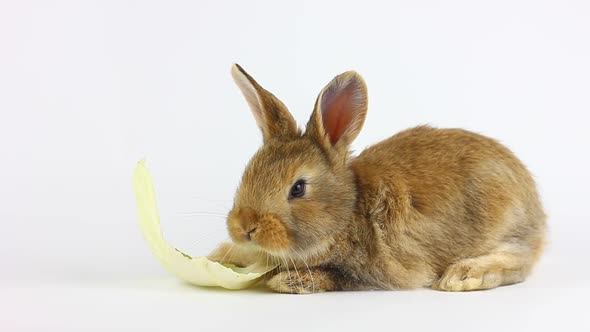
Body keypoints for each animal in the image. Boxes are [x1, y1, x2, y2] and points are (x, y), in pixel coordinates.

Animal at [210, 63, 548, 294]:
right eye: (248, 171)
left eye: (298, 188)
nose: (244, 227)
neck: (347, 213)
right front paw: (221, 255)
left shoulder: (370, 271)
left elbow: (335, 276)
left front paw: (290, 280)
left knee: (520, 259)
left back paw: (463, 275)